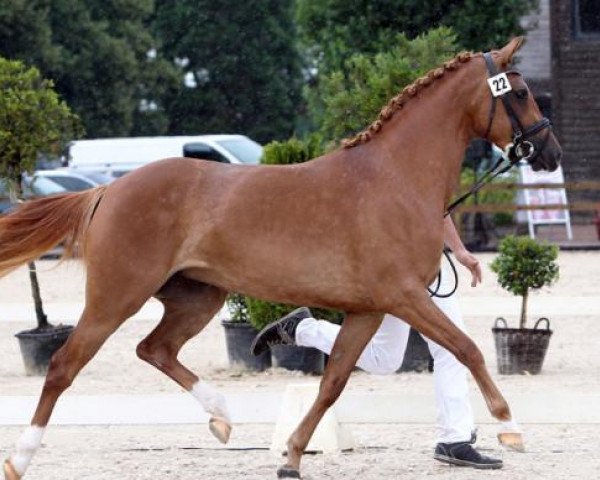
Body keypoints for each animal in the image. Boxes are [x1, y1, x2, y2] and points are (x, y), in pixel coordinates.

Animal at [2, 38, 560, 480]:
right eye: (522, 93)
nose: (550, 152)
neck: (396, 177)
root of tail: (107, 190)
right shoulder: (404, 295)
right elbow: (467, 349)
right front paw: (510, 428)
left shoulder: (369, 309)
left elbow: (333, 382)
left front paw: (291, 457)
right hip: (117, 296)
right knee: (64, 365)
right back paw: (20, 459)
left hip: (197, 298)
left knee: (154, 349)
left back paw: (223, 417)